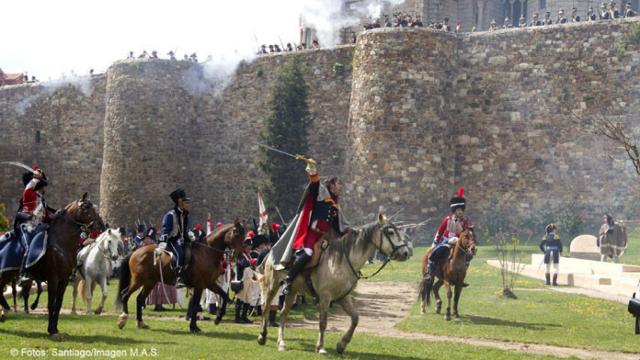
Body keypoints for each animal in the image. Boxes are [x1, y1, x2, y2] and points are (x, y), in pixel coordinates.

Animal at [0, 193, 104, 338]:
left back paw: (4, 313)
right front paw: (51, 330)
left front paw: (55, 329)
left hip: (7, 275)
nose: (101, 224)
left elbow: (58, 304)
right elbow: (51, 304)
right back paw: (6, 311)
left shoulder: (64, 280)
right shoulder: (53, 279)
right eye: (86, 207)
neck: (60, 244)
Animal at [115, 221, 245, 334]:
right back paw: (123, 320)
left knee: (139, 299)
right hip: (138, 281)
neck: (207, 252)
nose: (240, 255)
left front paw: (218, 318)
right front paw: (194, 327)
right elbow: (195, 305)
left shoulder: (209, 283)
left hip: (149, 283)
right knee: (125, 295)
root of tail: (135, 252)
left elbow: (224, 296)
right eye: (236, 234)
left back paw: (141, 323)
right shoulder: (200, 285)